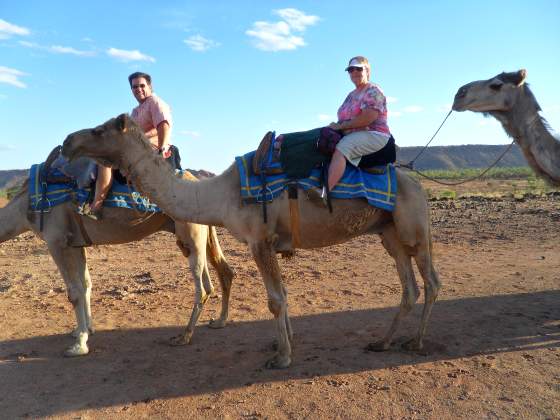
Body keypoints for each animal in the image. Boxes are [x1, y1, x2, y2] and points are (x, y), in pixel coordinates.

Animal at [0, 171, 234, 358]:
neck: (24, 208)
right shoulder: (77, 243)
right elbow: (86, 285)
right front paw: (85, 330)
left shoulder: (56, 241)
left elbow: (74, 292)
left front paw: (79, 345)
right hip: (199, 231)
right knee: (221, 273)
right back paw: (218, 321)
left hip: (190, 233)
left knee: (203, 286)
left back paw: (184, 336)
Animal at [62, 114, 442, 368]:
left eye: (98, 130)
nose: (67, 142)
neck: (219, 193)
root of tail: (418, 183)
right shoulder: (270, 244)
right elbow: (283, 295)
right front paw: (283, 345)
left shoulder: (259, 240)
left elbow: (275, 300)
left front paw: (283, 357)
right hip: (389, 234)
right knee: (409, 287)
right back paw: (383, 342)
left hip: (414, 229)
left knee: (431, 282)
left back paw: (416, 342)